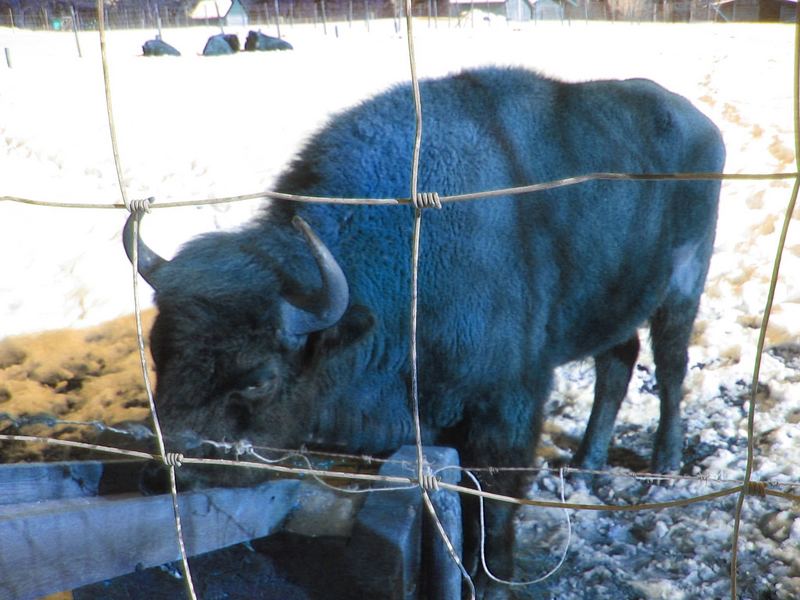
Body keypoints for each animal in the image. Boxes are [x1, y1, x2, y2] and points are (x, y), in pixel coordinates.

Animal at [123, 68, 724, 596]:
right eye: (158, 352)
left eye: (256, 379)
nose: (164, 471)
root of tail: (700, 122)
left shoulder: (507, 405)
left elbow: (496, 499)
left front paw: (492, 580)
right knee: (617, 362)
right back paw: (586, 463)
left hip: (683, 286)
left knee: (670, 365)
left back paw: (665, 463)